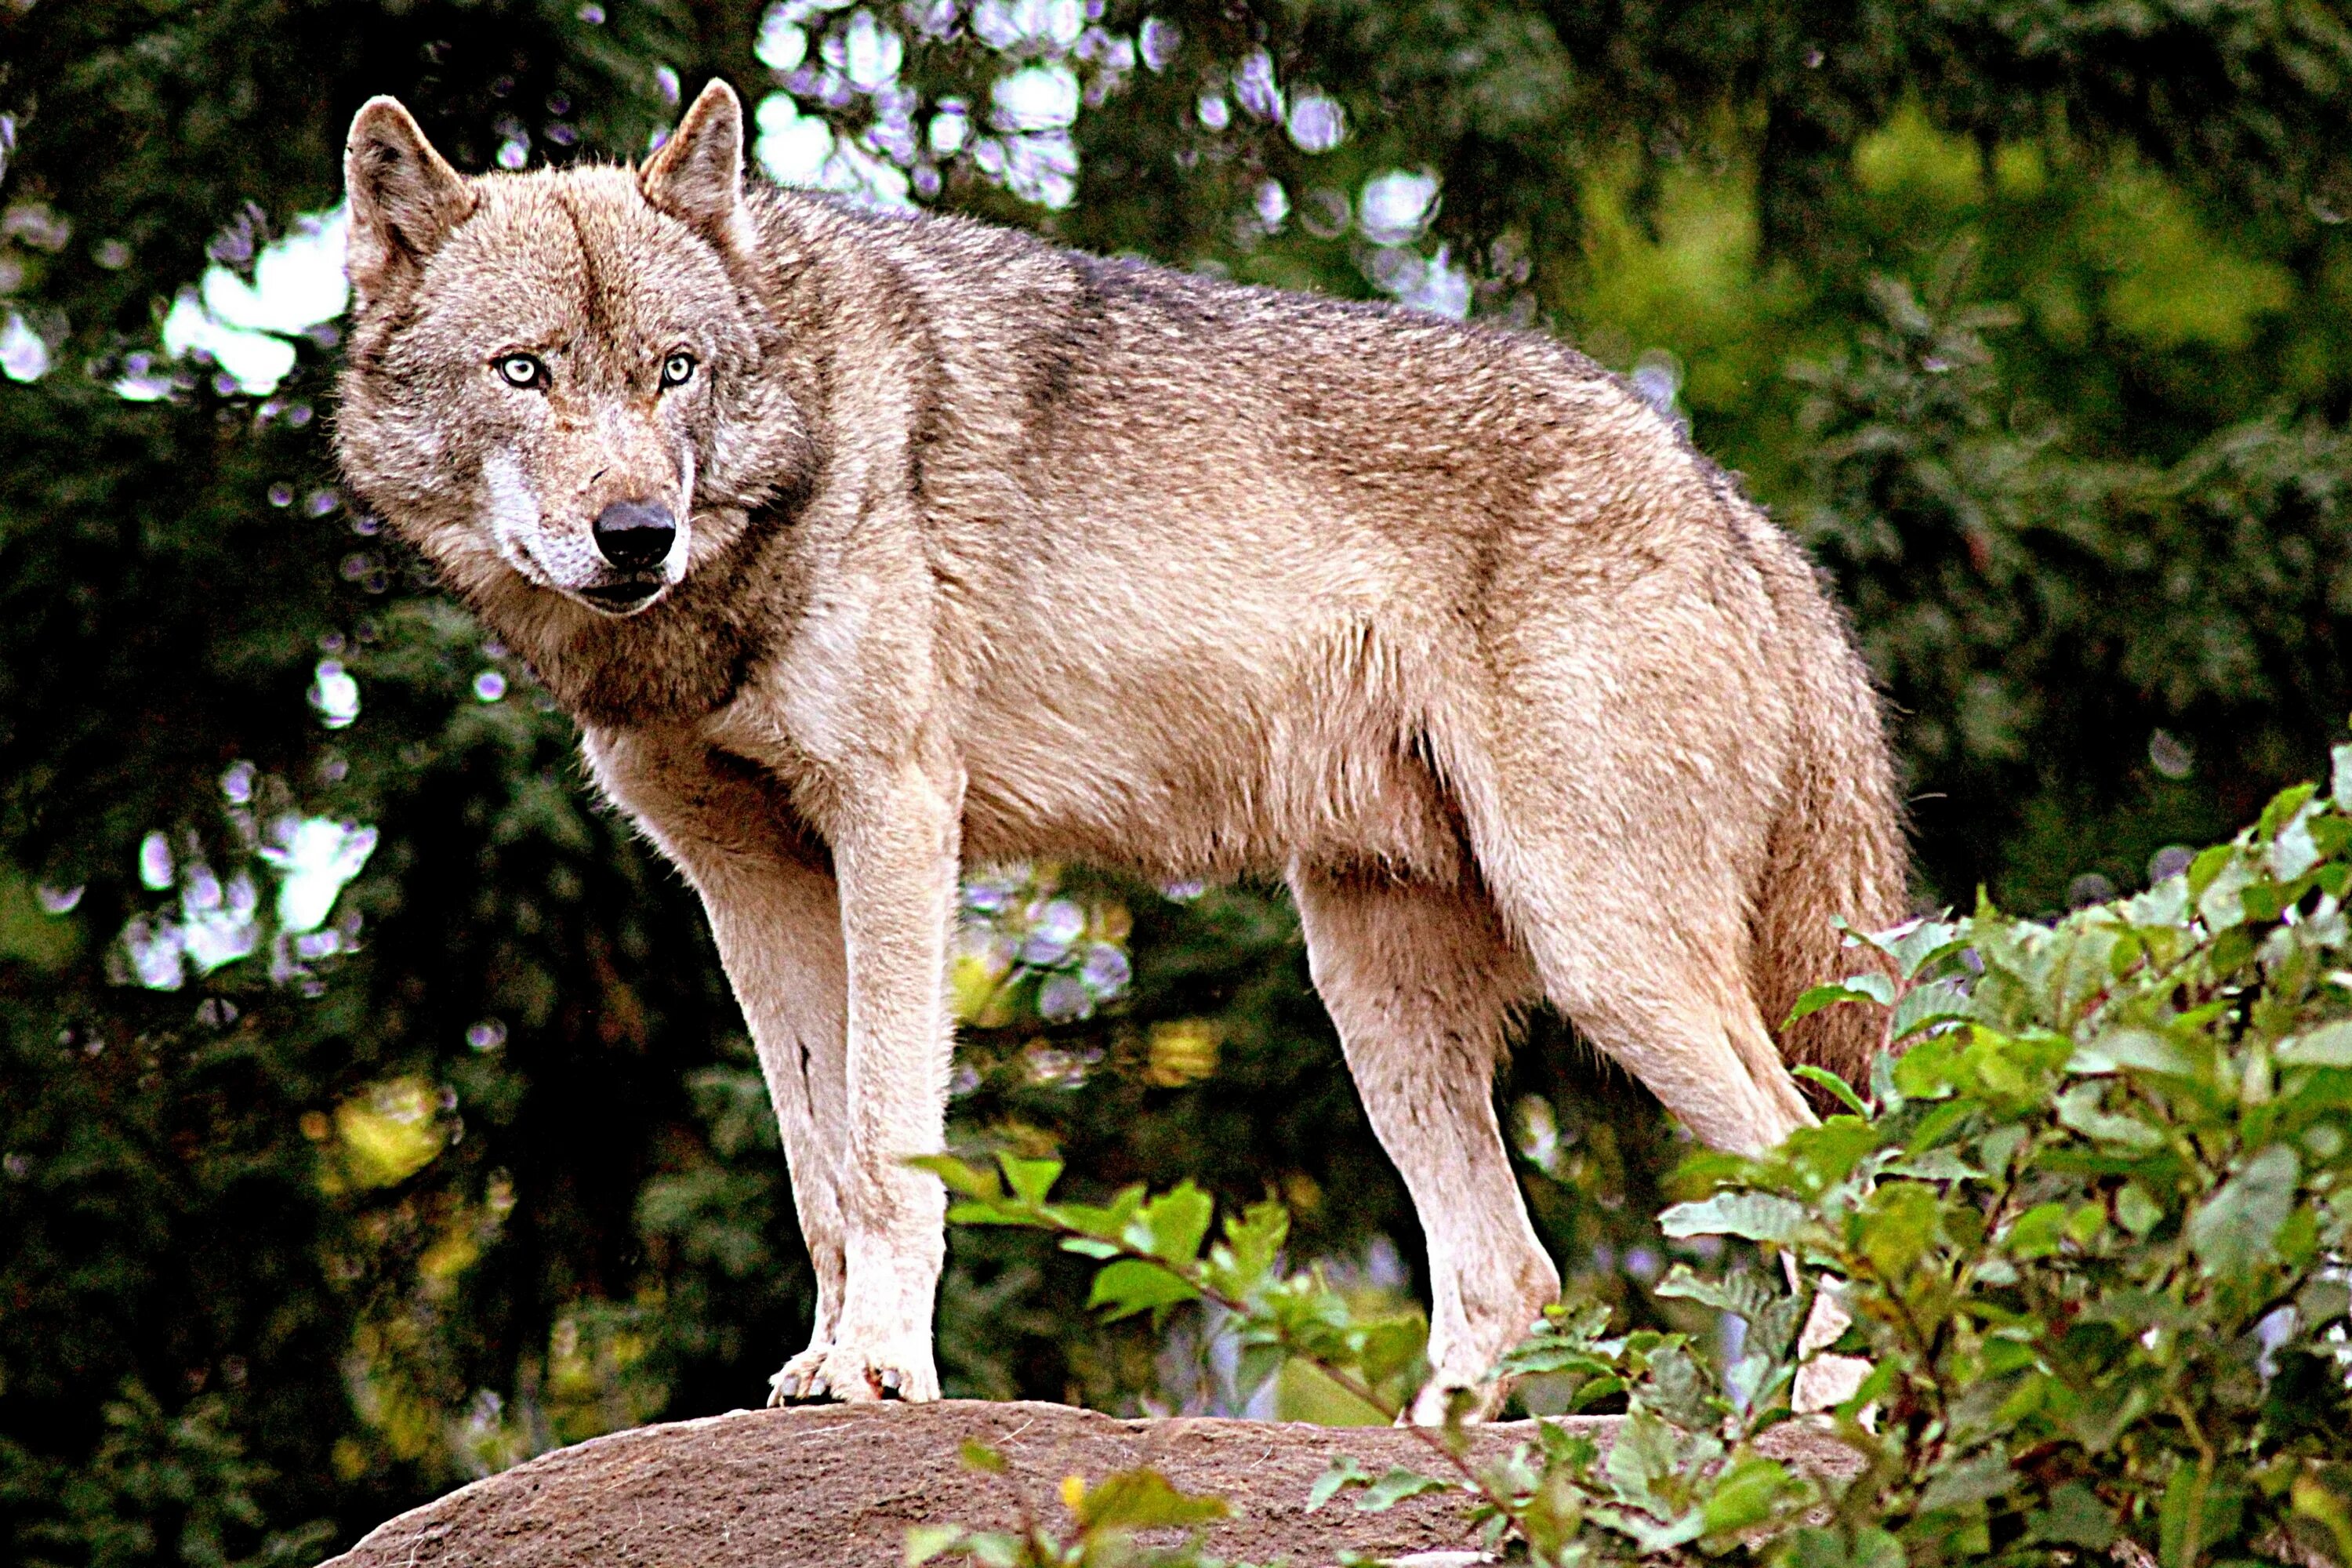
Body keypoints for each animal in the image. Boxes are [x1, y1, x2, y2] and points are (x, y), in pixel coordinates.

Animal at [336, 73, 1910, 1420]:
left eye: (673, 372)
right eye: (523, 372)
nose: (636, 534)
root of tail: (1736, 506)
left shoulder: (898, 822)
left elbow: (887, 1151)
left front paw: (882, 1370)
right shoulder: (748, 883)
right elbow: (817, 1170)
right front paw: (819, 1362)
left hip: (1601, 952)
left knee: (1844, 1167)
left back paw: (1831, 1414)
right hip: (1376, 991)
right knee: (1511, 1271)